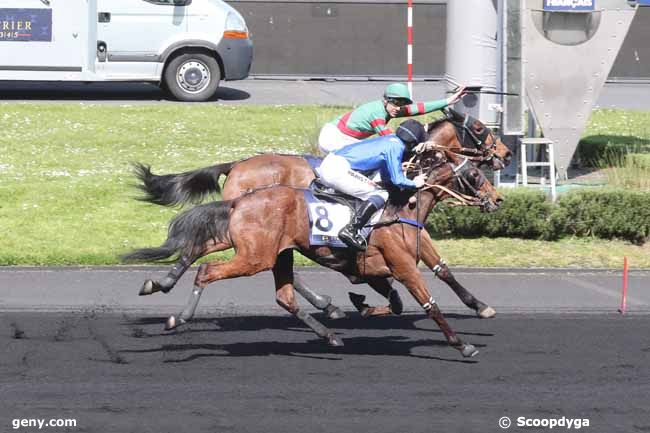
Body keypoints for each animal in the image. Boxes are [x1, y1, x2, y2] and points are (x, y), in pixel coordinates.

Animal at [125, 148, 502, 358]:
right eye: (473, 174)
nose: (497, 198)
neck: (399, 207)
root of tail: (240, 196)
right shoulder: (403, 266)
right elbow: (429, 304)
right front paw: (463, 344)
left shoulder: (380, 267)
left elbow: (406, 293)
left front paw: (361, 305)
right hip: (255, 256)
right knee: (207, 271)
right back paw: (177, 317)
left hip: (266, 249)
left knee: (276, 292)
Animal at [135, 109, 512, 318]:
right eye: (480, 129)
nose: (506, 154)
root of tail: (236, 164)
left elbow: (441, 268)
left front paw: (479, 305)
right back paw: (324, 303)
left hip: (243, 230)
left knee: (203, 247)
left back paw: (161, 283)